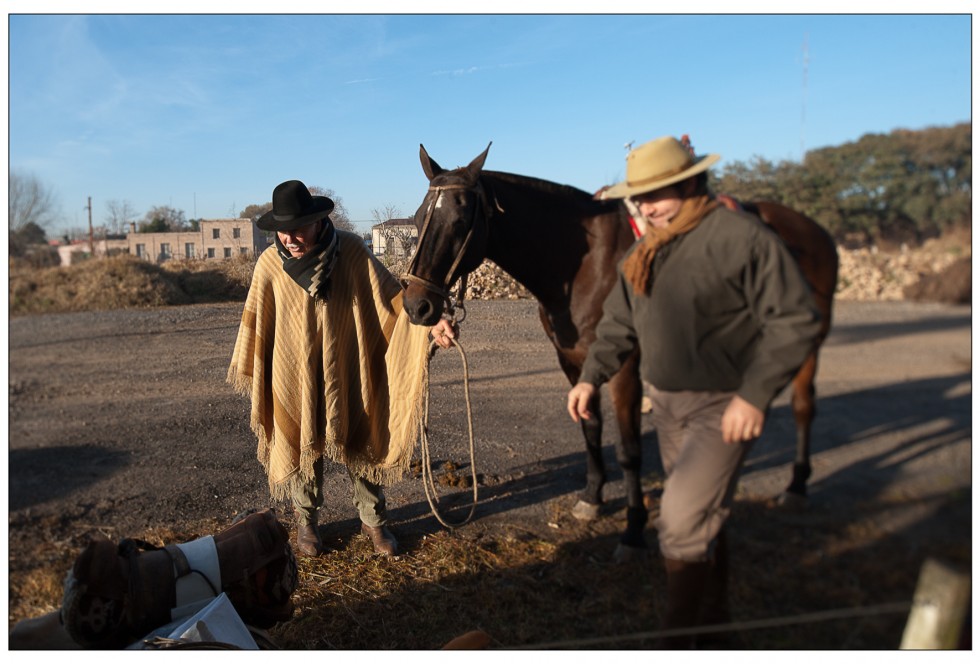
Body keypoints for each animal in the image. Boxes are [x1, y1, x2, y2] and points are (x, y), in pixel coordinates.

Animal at [402, 144, 840, 556]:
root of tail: (815, 231)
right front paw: (592, 498)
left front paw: (633, 529)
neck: (583, 265)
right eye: (420, 218)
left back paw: (796, 486)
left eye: (460, 221)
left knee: (803, 406)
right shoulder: (573, 362)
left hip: (807, 343)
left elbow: (630, 450)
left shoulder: (626, 366)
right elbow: (590, 427)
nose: (416, 305)